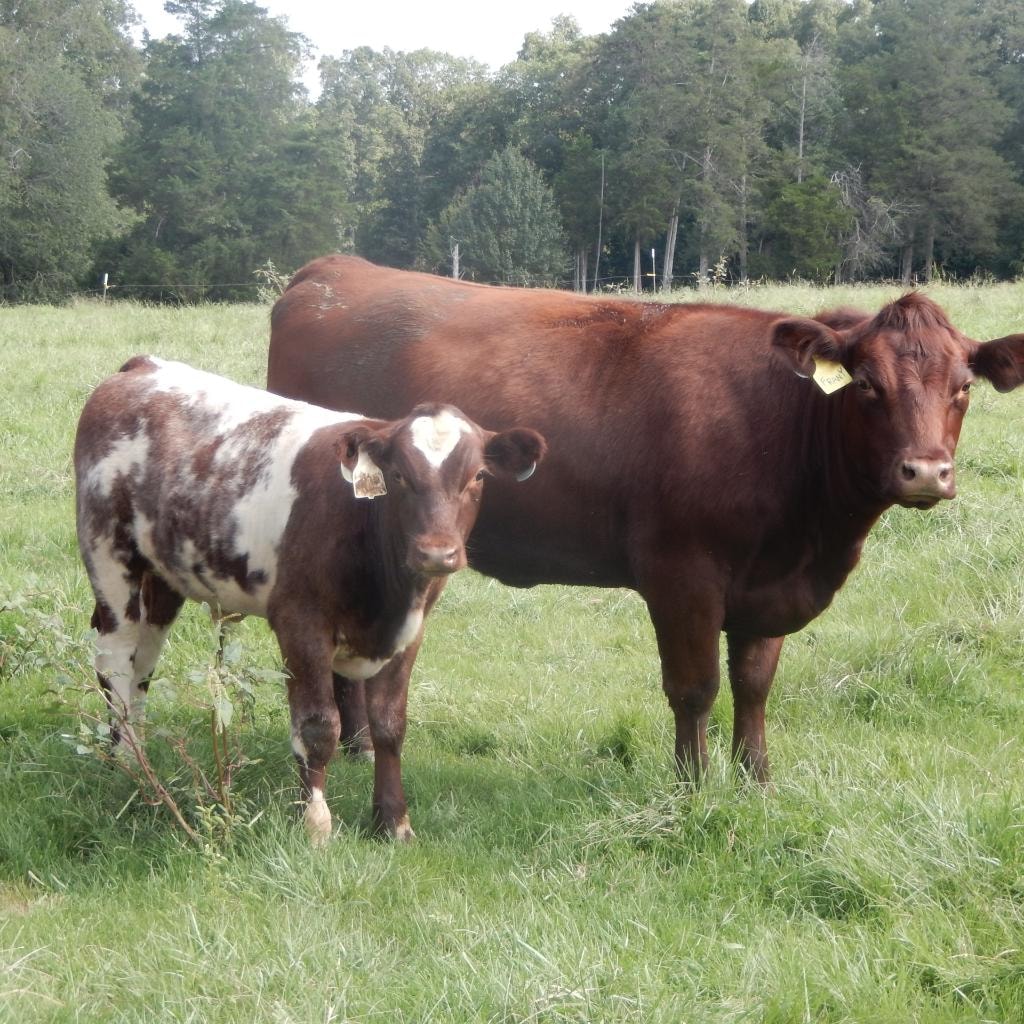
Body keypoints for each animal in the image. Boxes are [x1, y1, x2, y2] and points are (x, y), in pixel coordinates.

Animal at [74, 355, 545, 842]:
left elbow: (390, 725)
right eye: (398, 475)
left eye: (478, 476)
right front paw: (316, 823)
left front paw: (393, 822)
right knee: (115, 659)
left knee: (143, 663)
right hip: (109, 556)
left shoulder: (409, 631)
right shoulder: (300, 624)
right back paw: (129, 765)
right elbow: (319, 727)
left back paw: (132, 752)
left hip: (163, 577)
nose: (437, 552)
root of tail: (144, 366)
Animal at [268, 255, 1024, 788]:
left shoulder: (768, 584)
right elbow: (694, 688)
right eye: (868, 384)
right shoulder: (681, 575)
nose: (925, 472)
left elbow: (754, 683)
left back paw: (359, 743)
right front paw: (694, 786)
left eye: (963, 388)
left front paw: (756, 779)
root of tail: (331, 269)